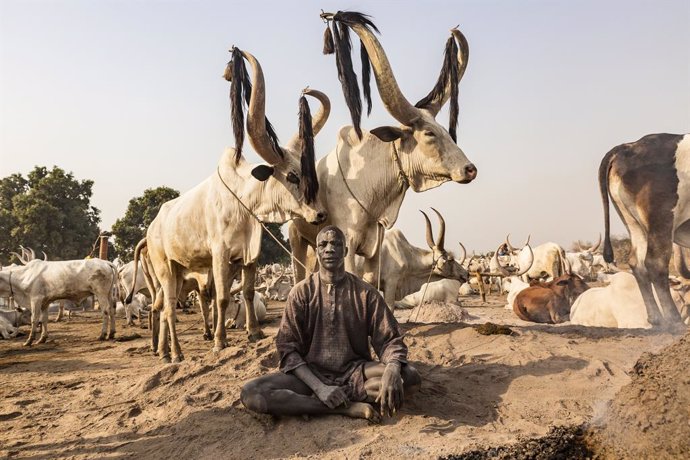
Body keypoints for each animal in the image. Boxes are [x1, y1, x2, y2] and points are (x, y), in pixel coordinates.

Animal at [127, 46, 330, 362]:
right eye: (292, 175)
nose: (319, 214)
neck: (243, 203)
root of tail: (152, 229)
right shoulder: (220, 255)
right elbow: (222, 297)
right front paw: (219, 340)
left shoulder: (250, 257)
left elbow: (246, 291)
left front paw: (254, 332)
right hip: (164, 268)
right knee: (169, 307)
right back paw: (176, 352)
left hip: (177, 270)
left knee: (162, 306)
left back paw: (163, 350)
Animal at [288, 11, 476, 280]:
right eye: (429, 133)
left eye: (444, 130)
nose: (470, 169)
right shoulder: (348, 241)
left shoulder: (375, 246)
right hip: (296, 239)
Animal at [596, 132, 688, 328]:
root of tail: (630, 146)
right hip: (661, 218)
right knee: (655, 263)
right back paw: (675, 321)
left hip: (633, 222)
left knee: (636, 263)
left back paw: (656, 318)